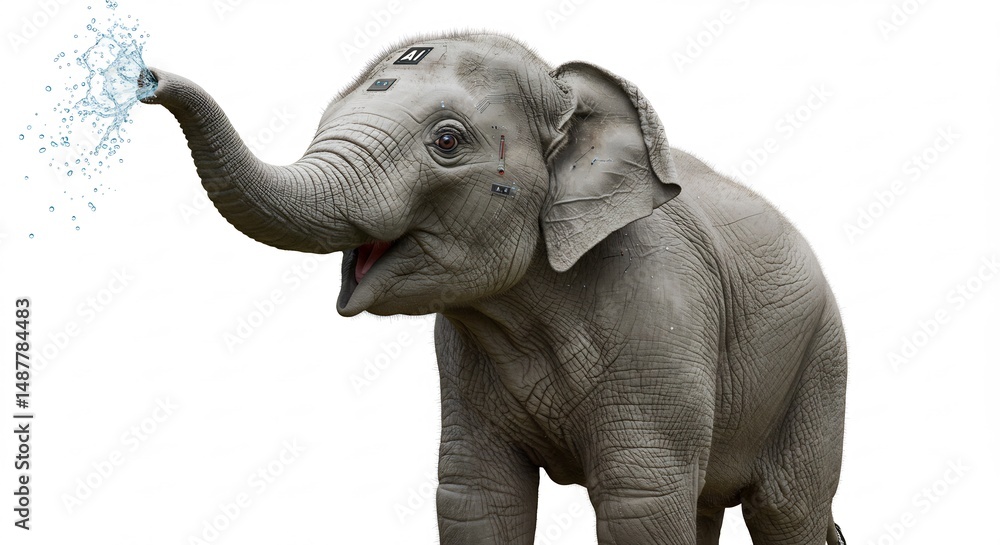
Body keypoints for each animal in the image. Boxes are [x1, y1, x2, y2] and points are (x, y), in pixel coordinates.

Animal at [142, 32, 848, 545]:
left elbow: (639, 500)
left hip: (819, 365)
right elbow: (477, 496)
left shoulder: (661, 310)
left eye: (447, 141)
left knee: (786, 510)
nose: (147, 78)